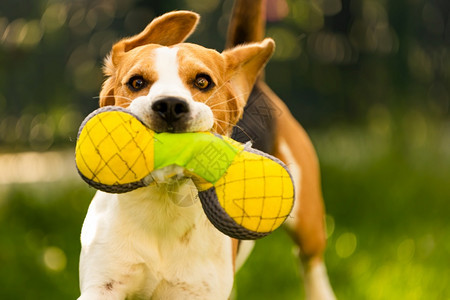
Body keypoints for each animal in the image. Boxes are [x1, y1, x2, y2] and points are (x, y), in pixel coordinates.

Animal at [79, 1, 336, 298]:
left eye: (202, 82)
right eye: (137, 82)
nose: (170, 105)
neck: (163, 205)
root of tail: (256, 85)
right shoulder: (103, 284)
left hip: (308, 224)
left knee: (311, 265)